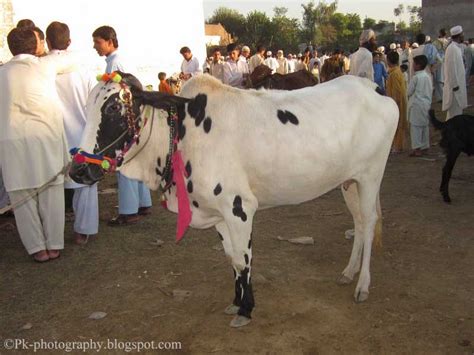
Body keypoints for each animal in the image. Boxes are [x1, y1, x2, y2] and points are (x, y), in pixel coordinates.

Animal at [69, 72, 396, 328]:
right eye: (87, 106)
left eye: (114, 107)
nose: (77, 170)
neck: (184, 134)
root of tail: (374, 89)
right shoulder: (218, 214)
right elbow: (231, 259)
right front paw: (237, 302)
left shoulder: (239, 208)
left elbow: (242, 259)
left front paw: (247, 309)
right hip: (348, 182)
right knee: (358, 222)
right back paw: (349, 272)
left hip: (371, 175)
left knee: (369, 223)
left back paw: (363, 284)